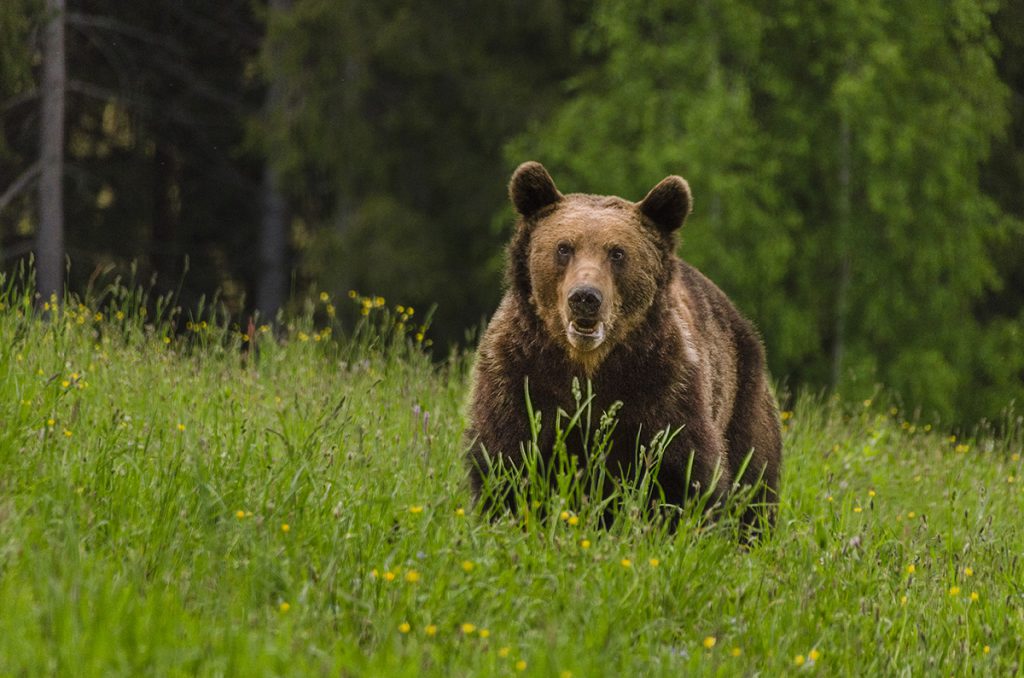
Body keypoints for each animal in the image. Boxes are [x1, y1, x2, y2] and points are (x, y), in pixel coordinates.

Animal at [466, 161, 782, 528]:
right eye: (564, 247)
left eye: (617, 252)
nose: (585, 297)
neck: (587, 363)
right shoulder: (521, 374)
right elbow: (506, 458)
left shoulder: (661, 386)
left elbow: (681, 472)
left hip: (742, 394)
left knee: (754, 477)